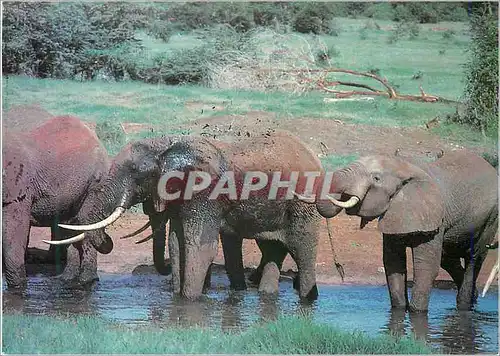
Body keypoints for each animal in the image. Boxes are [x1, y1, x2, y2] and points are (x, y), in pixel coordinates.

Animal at [2, 104, 112, 288]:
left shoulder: (18, 186)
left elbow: (14, 231)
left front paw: (18, 288)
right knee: (72, 224)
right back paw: (67, 280)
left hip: (95, 181)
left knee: (86, 222)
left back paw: (85, 282)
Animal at [298, 149, 498, 312]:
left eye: (376, 178)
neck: (406, 167)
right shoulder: (394, 213)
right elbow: (393, 264)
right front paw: (400, 311)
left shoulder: (434, 218)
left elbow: (426, 268)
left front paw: (417, 313)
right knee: (448, 258)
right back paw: (473, 299)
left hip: (491, 218)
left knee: (474, 257)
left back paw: (465, 305)